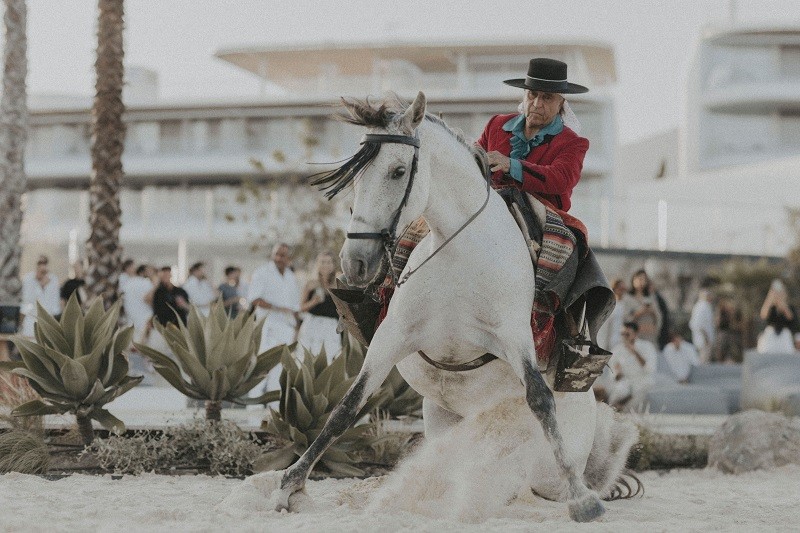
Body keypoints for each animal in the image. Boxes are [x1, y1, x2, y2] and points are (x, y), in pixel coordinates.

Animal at [276, 91, 636, 520]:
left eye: (398, 171)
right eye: (360, 176)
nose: (355, 262)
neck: (460, 252)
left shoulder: (514, 339)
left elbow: (539, 399)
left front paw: (583, 500)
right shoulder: (393, 336)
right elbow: (348, 405)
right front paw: (292, 483)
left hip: (541, 462)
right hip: (441, 415)